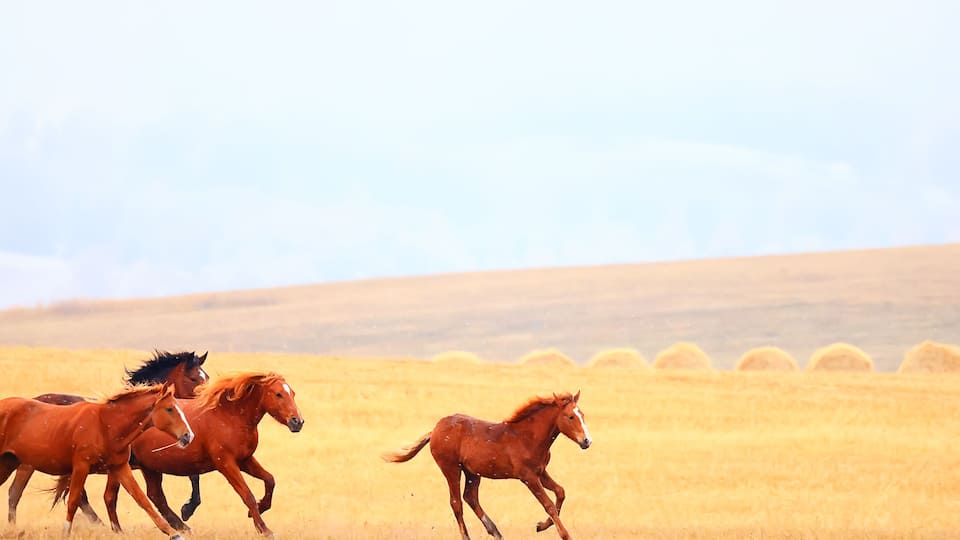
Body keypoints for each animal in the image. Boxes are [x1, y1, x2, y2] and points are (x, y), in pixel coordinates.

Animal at [0, 384, 194, 539]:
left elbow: (142, 500)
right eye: (169, 409)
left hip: (8, 463)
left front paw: (174, 533)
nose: (188, 436)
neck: (106, 426)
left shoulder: (120, 467)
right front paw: (66, 533)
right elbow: (73, 501)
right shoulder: (81, 467)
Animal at [6, 350, 209, 526]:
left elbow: (192, 476)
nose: (204, 403)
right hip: (28, 464)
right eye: (193, 378)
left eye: (206, 377)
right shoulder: (144, 464)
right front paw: (185, 514)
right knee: (15, 493)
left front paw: (186, 512)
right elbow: (145, 494)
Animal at [58, 372, 304, 538]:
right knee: (112, 496)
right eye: (278, 394)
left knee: (150, 495)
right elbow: (247, 494)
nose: (297, 422)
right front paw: (264, 528)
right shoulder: (226, 463)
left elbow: (270, 480)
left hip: (143, 467)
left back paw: (178, 526)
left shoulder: (245, 460)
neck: (230, 416)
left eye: (292, 393)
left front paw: (259, 511)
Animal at [383, 391, 592, 540]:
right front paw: (566, 535)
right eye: (570, 417)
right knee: (456, 502)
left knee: (470, 497)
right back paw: (469, 536)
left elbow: (560, 492)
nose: (587, 441)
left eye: (582, 414)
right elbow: (548, 504)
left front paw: (541, 525)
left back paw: (496, 532)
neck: (527, 437)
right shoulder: (528, 477)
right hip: (451, 468)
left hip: (472, 473)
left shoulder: (541, 472)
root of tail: (435, 429)